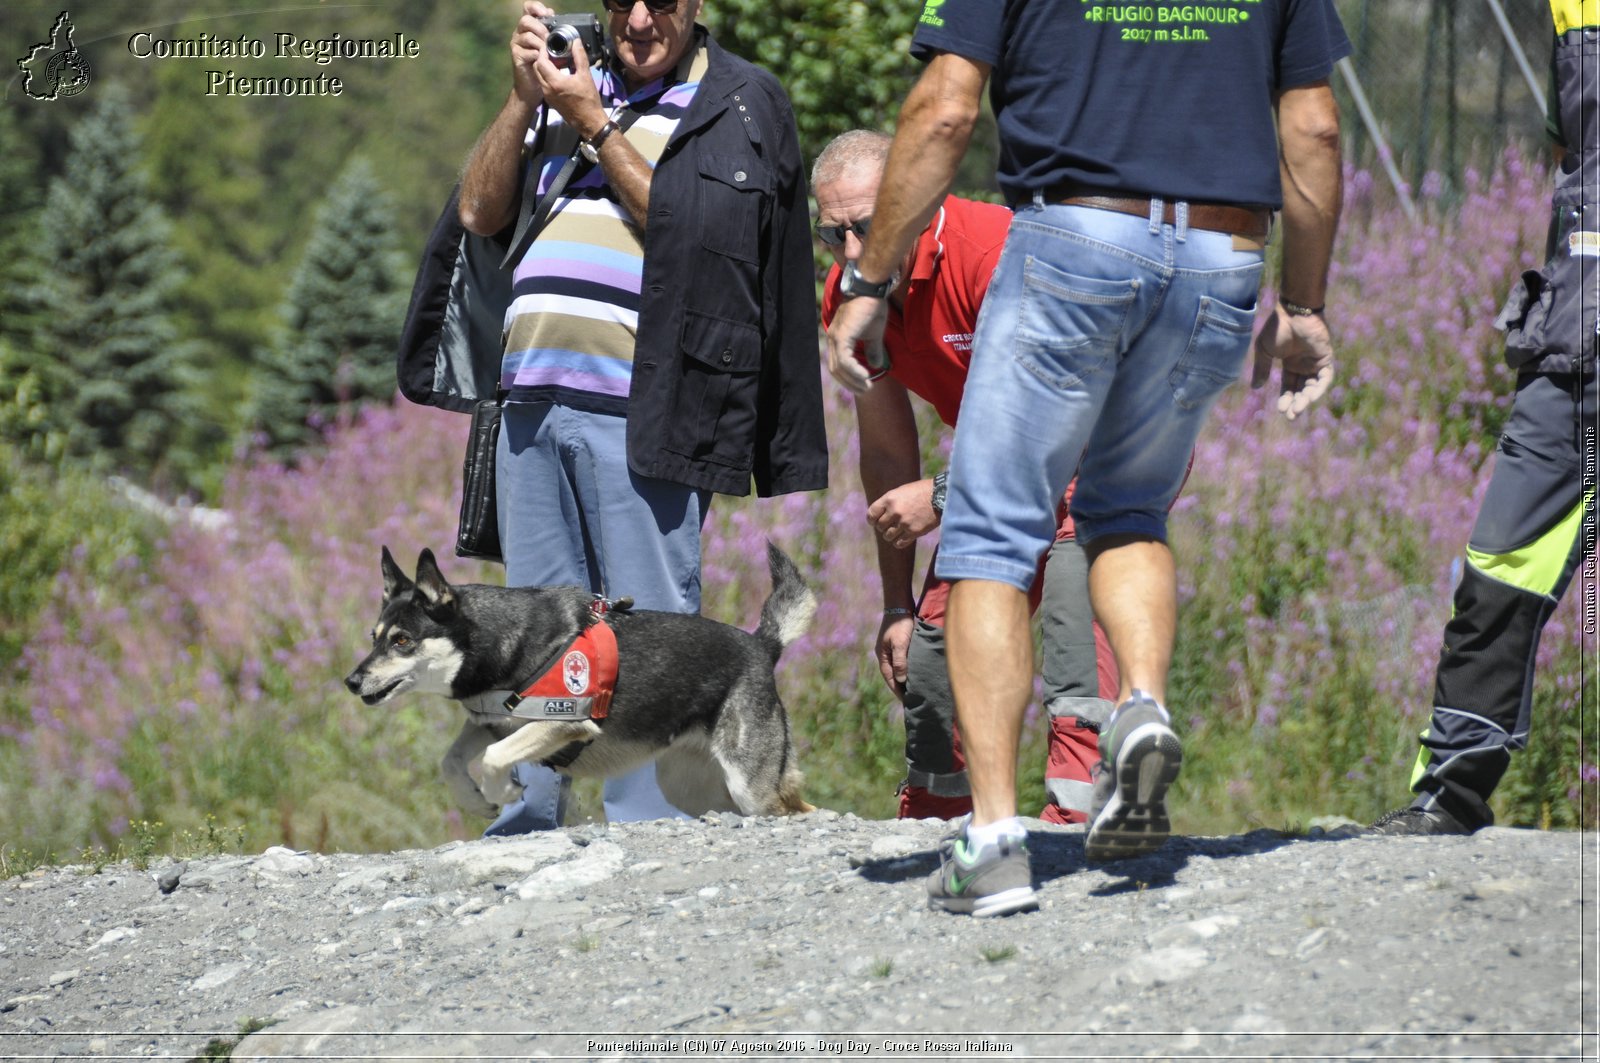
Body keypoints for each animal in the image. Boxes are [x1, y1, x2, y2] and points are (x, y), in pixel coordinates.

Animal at [339, 544, 812, 816]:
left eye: (402, 640)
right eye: (374, 638)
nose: (351, 681)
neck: (501, 642)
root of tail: (762, 645)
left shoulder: (561, 723)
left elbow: (493, 757)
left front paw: (503, 792)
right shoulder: (489, 721)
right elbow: (451, 761)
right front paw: (475, 799)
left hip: (748, 785)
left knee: (793, 809)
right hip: (689, 787)